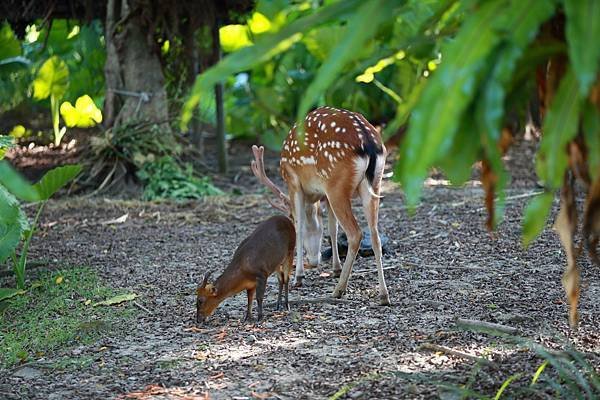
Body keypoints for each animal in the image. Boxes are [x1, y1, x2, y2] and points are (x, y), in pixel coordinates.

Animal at [251, 104, 392, 304]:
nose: (313, 260)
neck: (313, 197)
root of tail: (369, 144)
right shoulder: (323, 193)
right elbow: (332, 228)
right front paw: (335, 268)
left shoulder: (294, 181)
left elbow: (299, 226)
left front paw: (299, 276)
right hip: (374, 184)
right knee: (375, 235)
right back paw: (383, 295)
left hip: (336, 184)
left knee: (355, 233)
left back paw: (339, 290)